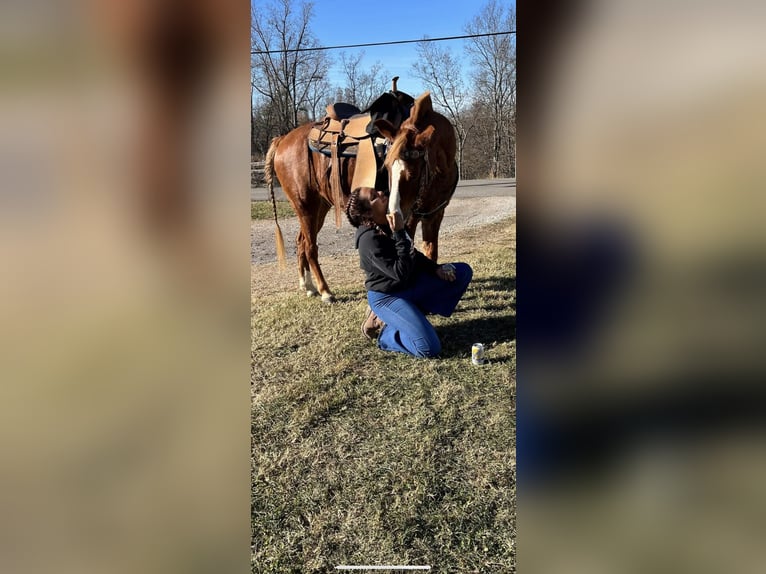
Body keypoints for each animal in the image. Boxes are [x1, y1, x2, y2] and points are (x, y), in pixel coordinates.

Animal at [266, 89, 456, 304]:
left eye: (414, 173)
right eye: (387, 167)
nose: (394, 213)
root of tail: (282, 140)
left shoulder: (434, 216)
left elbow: (432, 254)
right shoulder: (409, 221)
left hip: (319, 207)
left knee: (301, 242)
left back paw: (307, 286)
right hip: (305, 206)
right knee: (310, 247)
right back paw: (325, 291)